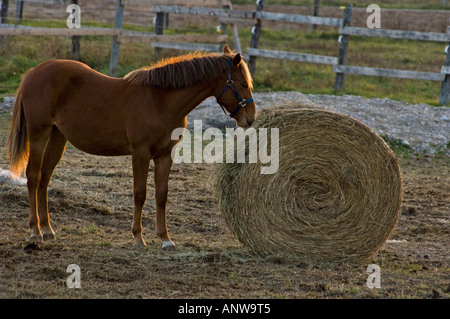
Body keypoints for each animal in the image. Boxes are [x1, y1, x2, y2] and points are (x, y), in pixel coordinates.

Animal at [7, 44, 256, 250]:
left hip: (58, 138)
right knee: (33, 176)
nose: (250, 119)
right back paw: (35, 231)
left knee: (45, 179)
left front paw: (165, 238)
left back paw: (47, 229)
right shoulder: (140, 153)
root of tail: (32, 73)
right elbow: (140, 193)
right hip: (39, 135)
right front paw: (138, 238)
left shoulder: (165, 155)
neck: (160, 101)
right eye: (243, 84)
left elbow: (162, 194)